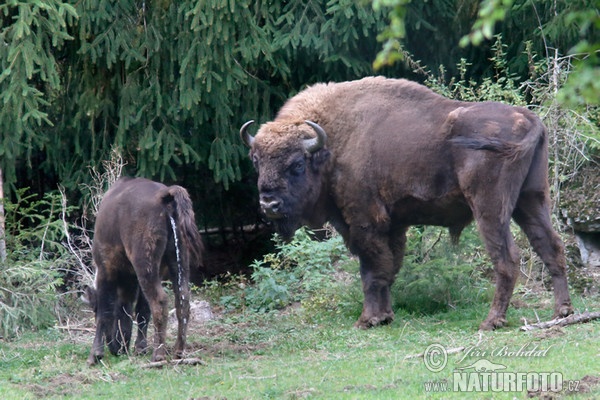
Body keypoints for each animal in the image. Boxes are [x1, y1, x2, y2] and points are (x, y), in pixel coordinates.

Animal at [86, 178, 204, 366]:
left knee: (160, 301)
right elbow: (142, 310)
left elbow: (105, 311)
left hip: (144, 262)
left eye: (93, 309)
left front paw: (94, 355)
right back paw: (178, 351)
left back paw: (158, 355)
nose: (116, 348)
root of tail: (166, 196)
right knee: (183, 300)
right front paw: (140, 348)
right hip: (178, 261)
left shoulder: (106, 268)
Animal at [241, 76, 576, 332]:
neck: (333, 143)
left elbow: (372, 271)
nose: (269, 204)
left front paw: (368, 320)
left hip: (491, 208)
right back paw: (562, 312)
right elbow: (389, 268)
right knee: (551, 246)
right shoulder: (394, 224)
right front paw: (385, 316)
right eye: (256, 161)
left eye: (297, 164)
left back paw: (491, 321)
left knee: (507, 258)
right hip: (531, 200)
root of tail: (531, 120)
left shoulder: (365, 222)